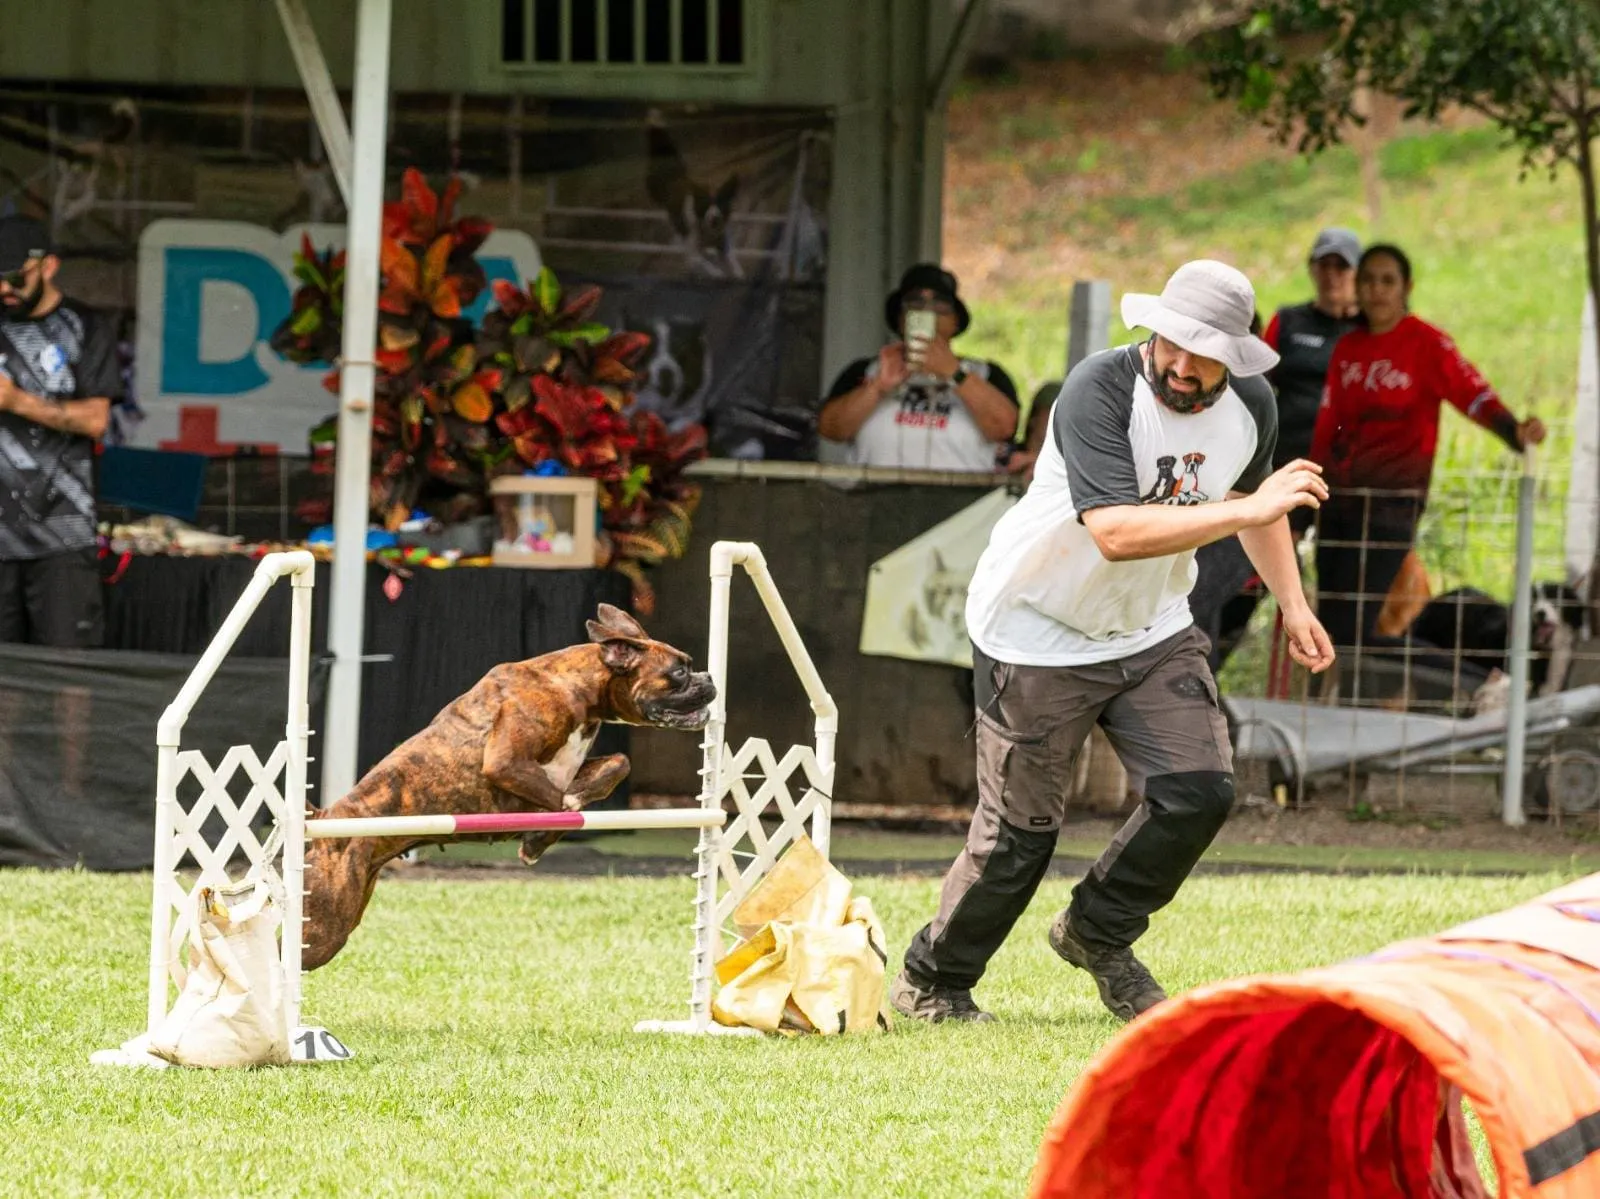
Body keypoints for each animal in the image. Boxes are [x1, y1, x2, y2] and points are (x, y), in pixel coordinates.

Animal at [300, 605, 715, 970]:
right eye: (679, 671)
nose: (709, 678)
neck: (575, 687)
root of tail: (322, 820)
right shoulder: (506, 764)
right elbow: (555, 803)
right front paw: (541, 833)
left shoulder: (567, 768)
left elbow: (617, 764)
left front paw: (541, 836)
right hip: (324, 927)